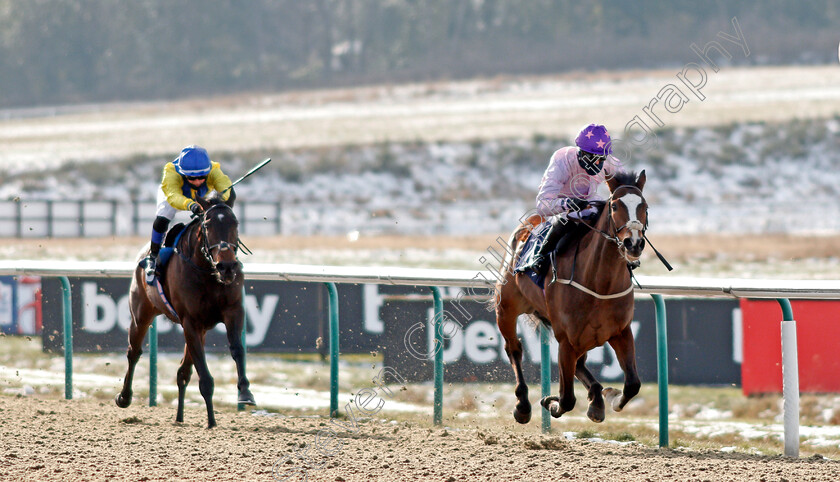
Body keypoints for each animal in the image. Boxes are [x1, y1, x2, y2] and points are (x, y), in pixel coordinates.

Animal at [115, 190, 254, 428]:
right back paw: (125, 397)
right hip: (141, 313)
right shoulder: (190, 321)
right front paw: (211, 421)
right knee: (134, 352)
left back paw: (179, 416)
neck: (208, 272)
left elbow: (237, 349)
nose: (227, 267)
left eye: (235, 222)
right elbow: (204, 374)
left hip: (201, 328)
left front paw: (245, 393)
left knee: (183, 372)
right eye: (207, 225)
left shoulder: (233, 311)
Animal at [496, 170, 648, 426]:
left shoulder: (621, 331)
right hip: (506, 307)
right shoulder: (566, 339)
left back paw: (597, 399)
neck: (600, 284)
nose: (633, 243)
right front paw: (550, 402)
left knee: (581, 363)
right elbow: (566, 399)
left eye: (644, 206)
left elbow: (633, 384)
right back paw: (523, 405)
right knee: (514, 348)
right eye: (615, 206)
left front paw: (611, 397)